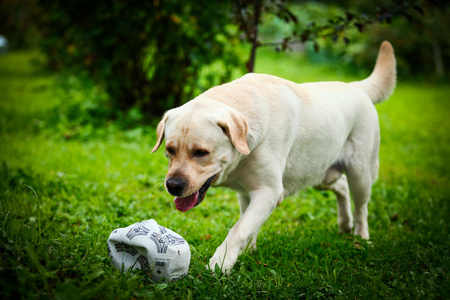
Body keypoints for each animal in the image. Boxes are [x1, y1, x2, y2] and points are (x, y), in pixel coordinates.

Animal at [153, 42, 396, 274]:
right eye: (170, 150)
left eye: (201, 152)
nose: (173, 185)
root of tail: (354, 86)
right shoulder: (246, 192)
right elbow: (247, 223)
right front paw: (248, 251)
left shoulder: (268, 192)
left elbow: (239, 228)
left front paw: (222, 262)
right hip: (319, 174)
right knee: (342, 186)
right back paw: (344, 225)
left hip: (360, 172)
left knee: (361, 208)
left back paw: (361, 238)